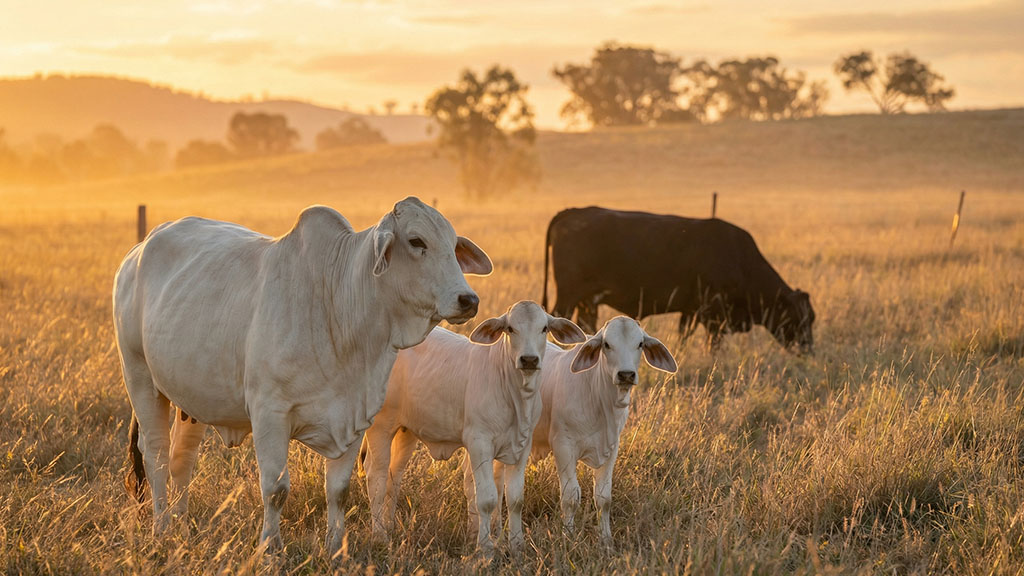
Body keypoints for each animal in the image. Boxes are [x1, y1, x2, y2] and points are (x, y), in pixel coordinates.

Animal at [113, 197, 492, 558]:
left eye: (453, 244)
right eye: (416, 241)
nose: (468, 300)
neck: (339, 302)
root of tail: (138, 250)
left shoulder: (356, 414)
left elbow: (339, 490)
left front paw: (336, 548)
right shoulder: (270, 414)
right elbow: (276, 490)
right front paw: (270, 548)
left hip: (191, 400)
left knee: (182, 459)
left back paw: (183, 529)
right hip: (140, 377)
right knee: (156, 455)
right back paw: (162, 529)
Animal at [357, 301, 586, 557]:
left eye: (544, 328)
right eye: (510, 328)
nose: (529, 360)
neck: (514, 394)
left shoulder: (521, 448)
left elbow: (515, 499)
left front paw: (517, 546)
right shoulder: (480, 444)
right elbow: (486, 498)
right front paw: (485, 547)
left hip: (405, 431)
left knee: (393, 476)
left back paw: (390, 527)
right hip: (381, 426)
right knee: (376, 476)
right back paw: (380, 535)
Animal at [525, 316, 677, 547]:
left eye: (640, 344)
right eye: (606, 344)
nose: (626, 374)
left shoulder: (612, 449)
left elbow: (604, 498)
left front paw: (606, 540)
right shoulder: (563, 447)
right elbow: (570, 497)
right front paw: (568, 537)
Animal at [542, 206, 815, 353]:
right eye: (798, 319)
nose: (808, 350)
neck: (740, 259)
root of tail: (573, 212)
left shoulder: (690, 311)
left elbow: (685, 336)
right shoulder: (713, 314)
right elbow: (713, 344)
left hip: (587, 301)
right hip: (568, 295)